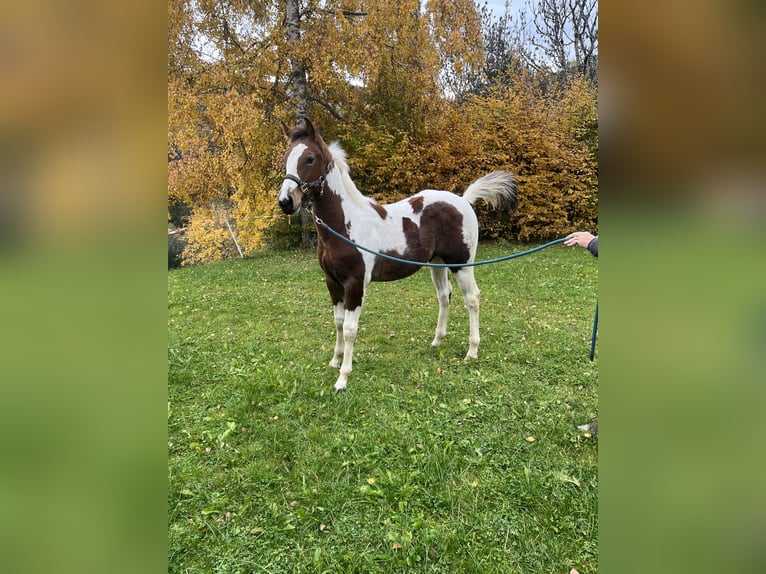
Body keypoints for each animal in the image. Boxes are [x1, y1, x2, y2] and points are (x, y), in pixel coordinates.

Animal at [278, 119, 517, 390]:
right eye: (286, 157)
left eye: (309, 158)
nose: (286, 202)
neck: (346, 223)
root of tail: (464, 201)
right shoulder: (332, 282)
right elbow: (338, 322)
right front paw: (335, 361)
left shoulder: (355, 284)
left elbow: (350, 328)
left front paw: (343, 378)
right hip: (437, 263)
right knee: (444, 296)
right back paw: (437, 342)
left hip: (462, 264)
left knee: (472, 299)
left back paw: (472, 351)